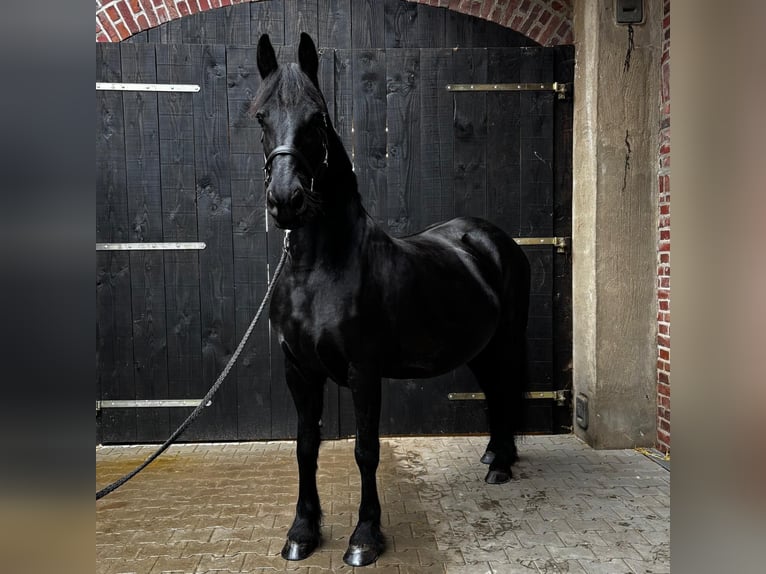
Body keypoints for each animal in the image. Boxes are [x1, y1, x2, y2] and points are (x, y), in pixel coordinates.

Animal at [254, 33, 531, 567]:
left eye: (317, 118)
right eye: (260, 116)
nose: (285, 200)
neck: (318, 271)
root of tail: (491, 239)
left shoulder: (364, 372)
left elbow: (366, 450)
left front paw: (364, 537)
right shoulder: (298, 370)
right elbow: (305, 446)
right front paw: (302, 531)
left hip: (506, 339)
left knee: (505, 388)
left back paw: (502, 466)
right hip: (480, 346)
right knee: (492, 388)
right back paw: (493, 454)